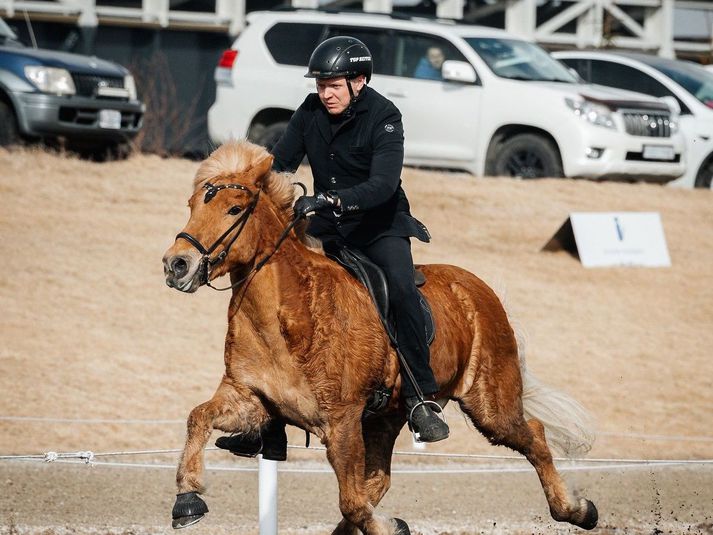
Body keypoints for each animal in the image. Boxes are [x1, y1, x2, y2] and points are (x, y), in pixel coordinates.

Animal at [161, 140, 596, 532]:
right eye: (193, 205)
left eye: (234, 209)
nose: (177, 265)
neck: (283, 318)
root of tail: (480, 290)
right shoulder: (252, 399)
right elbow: (197, 417)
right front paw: (187, 498)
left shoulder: (341, 421)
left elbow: (352, 501)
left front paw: (388, 527)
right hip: (387, 417)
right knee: (378, 482)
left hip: (488, 404)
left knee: (533, 437)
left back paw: (578, 511)